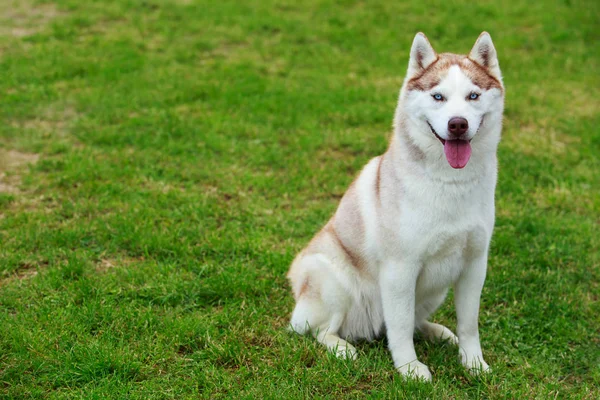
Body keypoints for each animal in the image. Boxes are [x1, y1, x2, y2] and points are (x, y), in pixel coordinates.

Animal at [288, 32, 504, 380]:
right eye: (438, 97)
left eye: (473, 95)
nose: (457, 124)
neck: (449, 183)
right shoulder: (400, 268)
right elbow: (400, 327)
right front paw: (410, 369)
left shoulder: (474, 264)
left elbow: (469, 324)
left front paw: (473, 363)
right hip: (331, 279)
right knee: (319, 330)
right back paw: (342, 348)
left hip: (435, 290)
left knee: (415, 320)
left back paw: (437, 332)